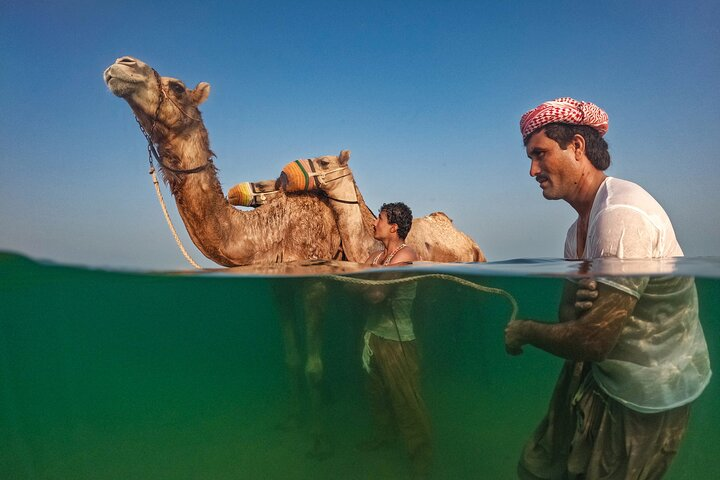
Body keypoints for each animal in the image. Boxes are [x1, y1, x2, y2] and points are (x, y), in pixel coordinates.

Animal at [103, 56, 484, 458]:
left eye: (177, 87)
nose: (123, 64)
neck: (267, 229)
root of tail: (468, 240)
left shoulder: (313, 279)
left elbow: (313, 366)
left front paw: (318, 440)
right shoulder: (280, 287)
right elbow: (291, 359)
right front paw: (293, 420)